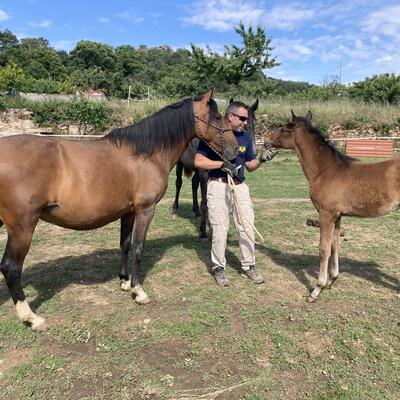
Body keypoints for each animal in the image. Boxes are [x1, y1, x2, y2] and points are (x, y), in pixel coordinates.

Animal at [0, 89, 239, 330]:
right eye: (217, 117)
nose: (235, 149)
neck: (144, 154)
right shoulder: (145, 210)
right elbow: (138, 248)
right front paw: (138, 290)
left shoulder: (128, 212)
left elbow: (125, 244)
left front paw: (124, 281)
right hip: (22, 228)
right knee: (11, 268)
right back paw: (31, 317)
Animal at [172, 99, 259, 239]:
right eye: (244, 123)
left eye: (254, 123)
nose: (255, 152)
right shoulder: (204, 174)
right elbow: (205, 202)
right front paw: (203, 231)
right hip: (180, 164)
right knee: (178, 183)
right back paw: (174, 210)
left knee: (193, 183)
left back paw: (196, 211)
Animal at [264, 110, 400, 302]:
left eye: (283, 128)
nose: (265, 140)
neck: (326, 171)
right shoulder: (338, 216)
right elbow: (335, 245)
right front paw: (331, 280)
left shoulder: (326, 214)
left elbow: (324, 248)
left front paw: (317, 289)